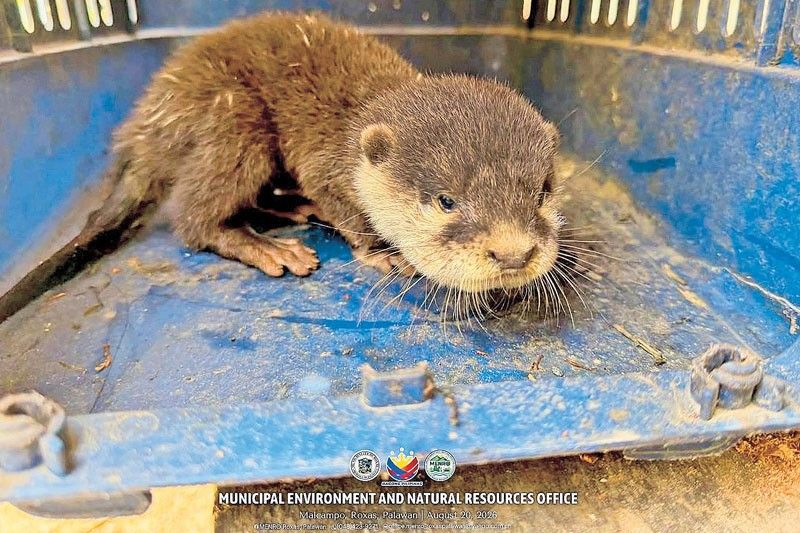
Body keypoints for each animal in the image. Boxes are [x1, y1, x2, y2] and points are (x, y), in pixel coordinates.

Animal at [0, 12, 562, 321]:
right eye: (446, 201)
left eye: (541, 192)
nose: (514, 254)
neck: (356, 127)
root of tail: (146, 123)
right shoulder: (325, 165)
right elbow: (351, 214)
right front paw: (385, 253)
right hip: (234, 119)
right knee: (192, 217)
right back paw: (267, 247)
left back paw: (291, 212)